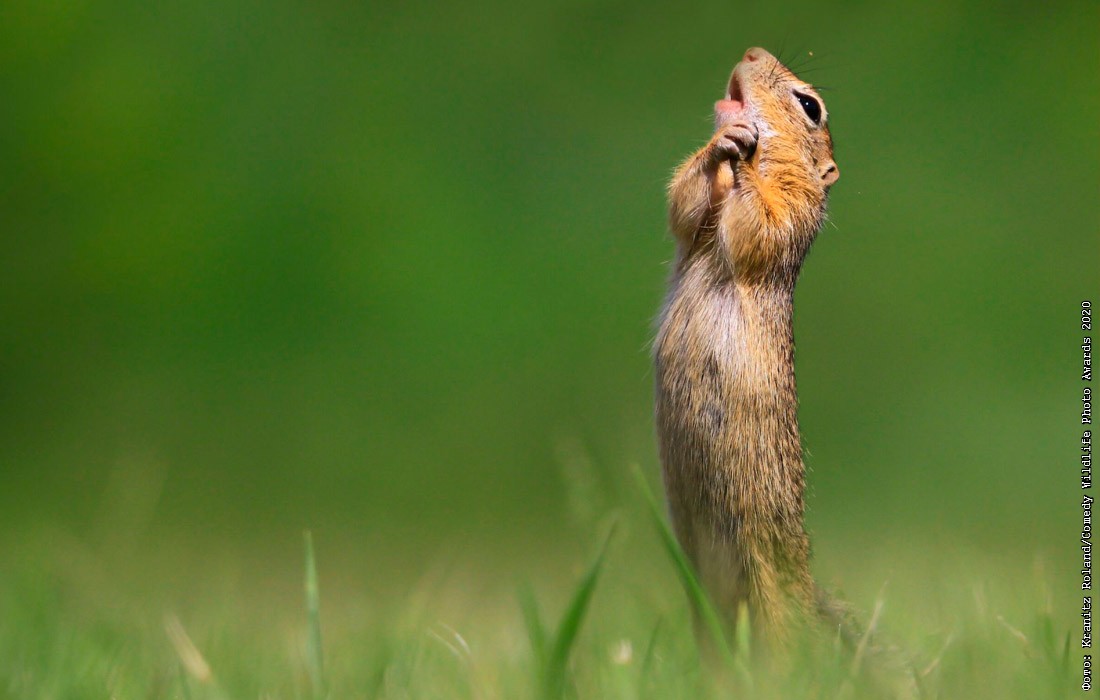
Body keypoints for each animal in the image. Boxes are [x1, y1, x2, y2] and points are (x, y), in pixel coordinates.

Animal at [654, 47, 850, 652]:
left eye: (811, 106)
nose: (751, 52)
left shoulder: (791, 213)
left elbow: (757, 226)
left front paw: (742, 150)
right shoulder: (694, 225)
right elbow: (685, 204)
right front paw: (724, 144)